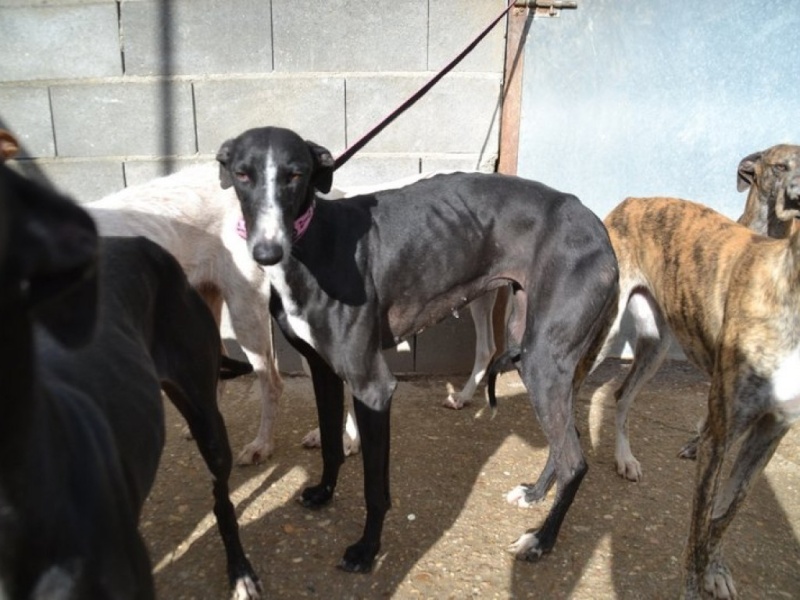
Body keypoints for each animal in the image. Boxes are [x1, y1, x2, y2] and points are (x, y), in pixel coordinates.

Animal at [217, 125, 620, 572]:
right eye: (242, 174)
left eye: (295, 174)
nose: (266, 251)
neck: (313, 245)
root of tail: (597, 226)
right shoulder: (323, 371)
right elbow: (331, 445)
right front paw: (323, 493)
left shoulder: (372, 386)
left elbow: (374, 486)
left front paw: (367, 549)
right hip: (536, 352)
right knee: (567, 438)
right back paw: (533, 494)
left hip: (543, 362)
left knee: (575, 461)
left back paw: (541, 540)